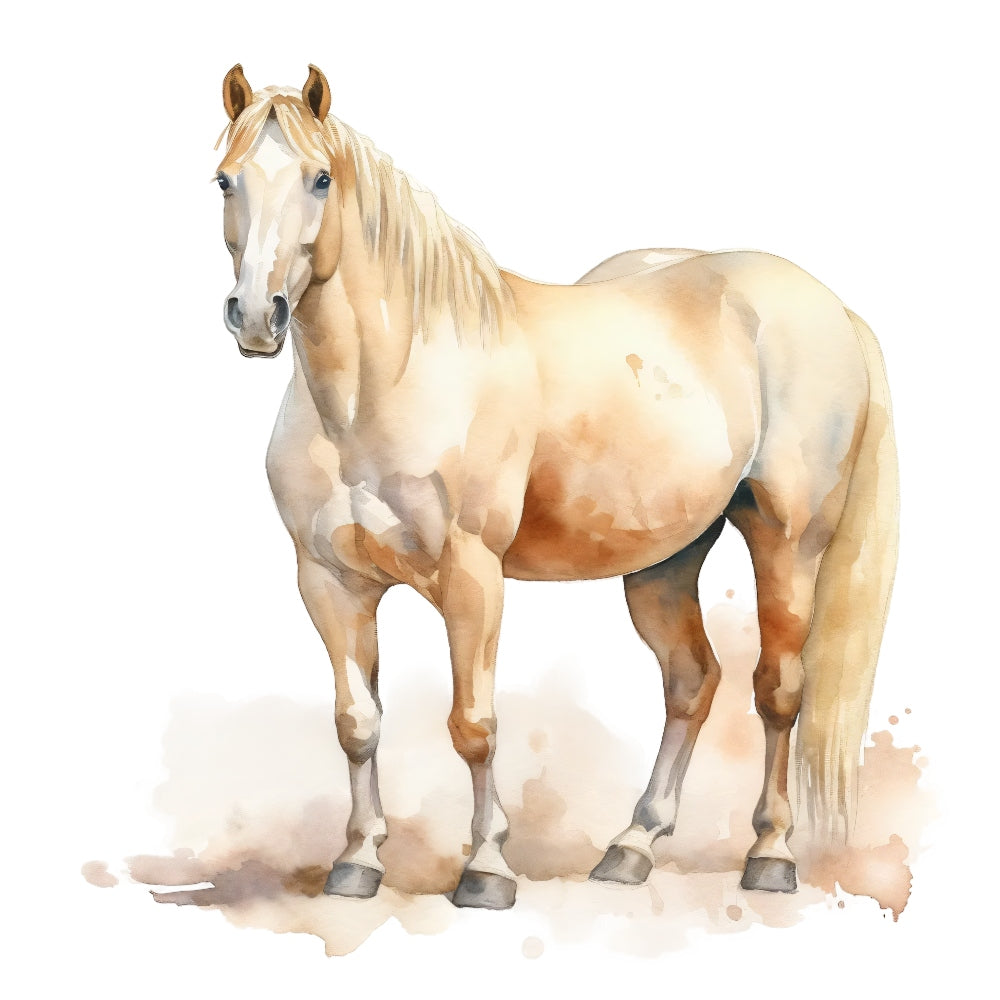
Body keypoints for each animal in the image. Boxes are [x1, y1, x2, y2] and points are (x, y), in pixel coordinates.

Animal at [213, 64, 898, 909]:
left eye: (320, 178)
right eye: (225, 180)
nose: (256, 316)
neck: (383, 383)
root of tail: (830, 306)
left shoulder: (471, 576)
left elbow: (473, 724)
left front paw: (485, 870)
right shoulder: (330, 582)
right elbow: (357, 722)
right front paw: (359, 861)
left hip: (788, 542)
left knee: (778, 690)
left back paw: (770, 855)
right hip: (665, 560)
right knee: (691, 681)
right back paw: (631, 848)